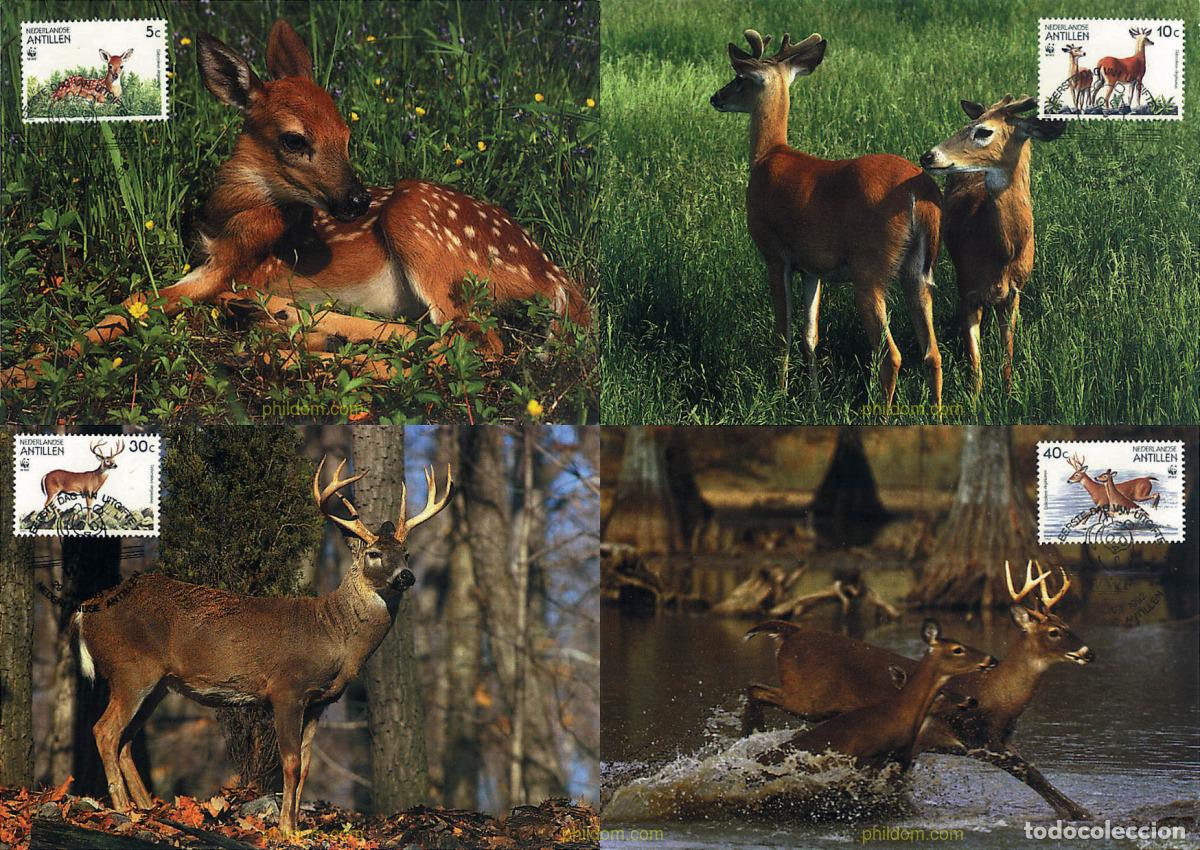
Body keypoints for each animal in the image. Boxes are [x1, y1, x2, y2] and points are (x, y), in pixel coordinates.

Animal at [3, 20, 587, 389]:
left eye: (347, 134)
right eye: (294, 139)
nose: (355, 200)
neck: (236, 212)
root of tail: (552, 274)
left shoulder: (228, 266)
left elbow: (129, 304)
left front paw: (24, 371)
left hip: (418, 222)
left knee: (472, 347)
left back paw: (292, 348)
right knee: (433, 337)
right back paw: (283, 325)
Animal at [72, 456, 452, 835]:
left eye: (406, 552)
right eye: (373, 553)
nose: (406, 576)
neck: (334, 635)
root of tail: (84, 611)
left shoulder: (319, 702)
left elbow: (307, 766)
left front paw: (298, 827)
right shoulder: (286, 689)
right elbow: (291, 762)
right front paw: (285, 830)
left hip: (158, 684)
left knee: (125, 741)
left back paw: (147, 808)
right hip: (131, 669)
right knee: (105, 732)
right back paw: (123, 810)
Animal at [710, 30, 943, 407]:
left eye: (739, 78)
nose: (715, 97)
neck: (768, 154)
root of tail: (918, 196)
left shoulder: (776, 254)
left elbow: (784, 332)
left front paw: (781, 395)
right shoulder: (813, 268)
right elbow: (811, 335)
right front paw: (814, 398)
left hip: (869, 271)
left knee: (890, 355)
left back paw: (881, 413)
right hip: (918, 273)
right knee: (932, 353)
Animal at [920, 95, 1065, 394]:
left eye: (984, 131)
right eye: (968, 124)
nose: (928, 156)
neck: (1001, 252)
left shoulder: (1014, 292)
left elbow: (1007, 348)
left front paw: (1009, 392)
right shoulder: (967, 289)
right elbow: (975, 358)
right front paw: (975, 398)